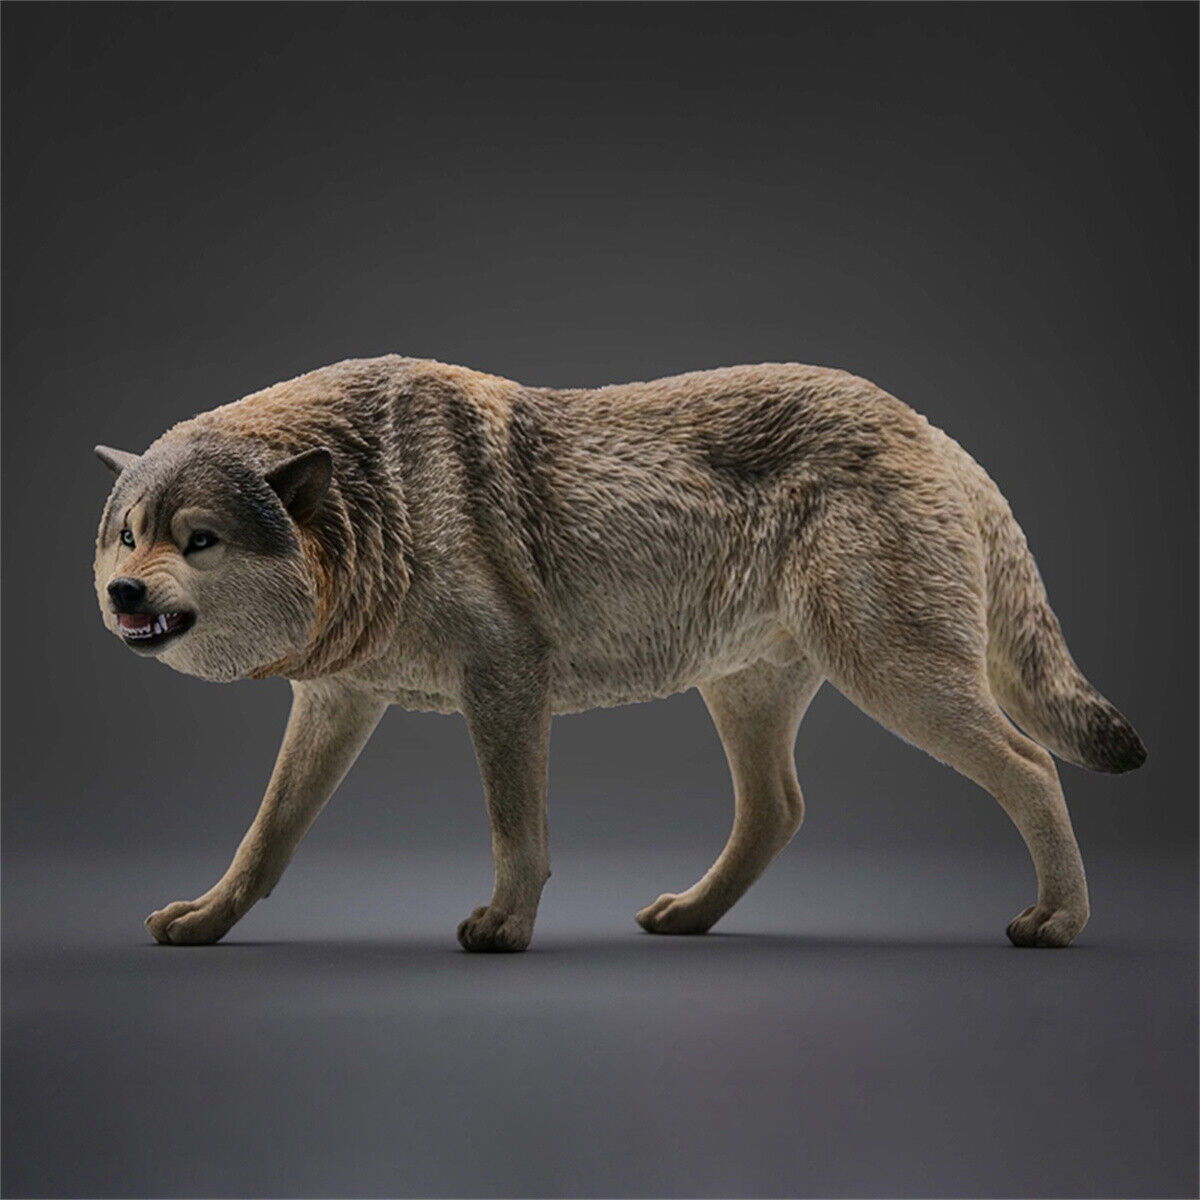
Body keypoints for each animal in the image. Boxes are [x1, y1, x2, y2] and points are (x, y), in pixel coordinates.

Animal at [93, 356, 1145, 951]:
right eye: (127, 535)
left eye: (198, 540)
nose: (122, 595)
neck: (380, 503)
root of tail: (930, 428)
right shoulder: (338, 700)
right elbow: (266, 835)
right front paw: (204, 921)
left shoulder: (506, 680)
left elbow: (516, 830)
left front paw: (506, 930)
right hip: (748, 692)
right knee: (780, 808)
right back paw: (690, 917)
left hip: (896, 677)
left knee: (1031, 764)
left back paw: (1059, 922)